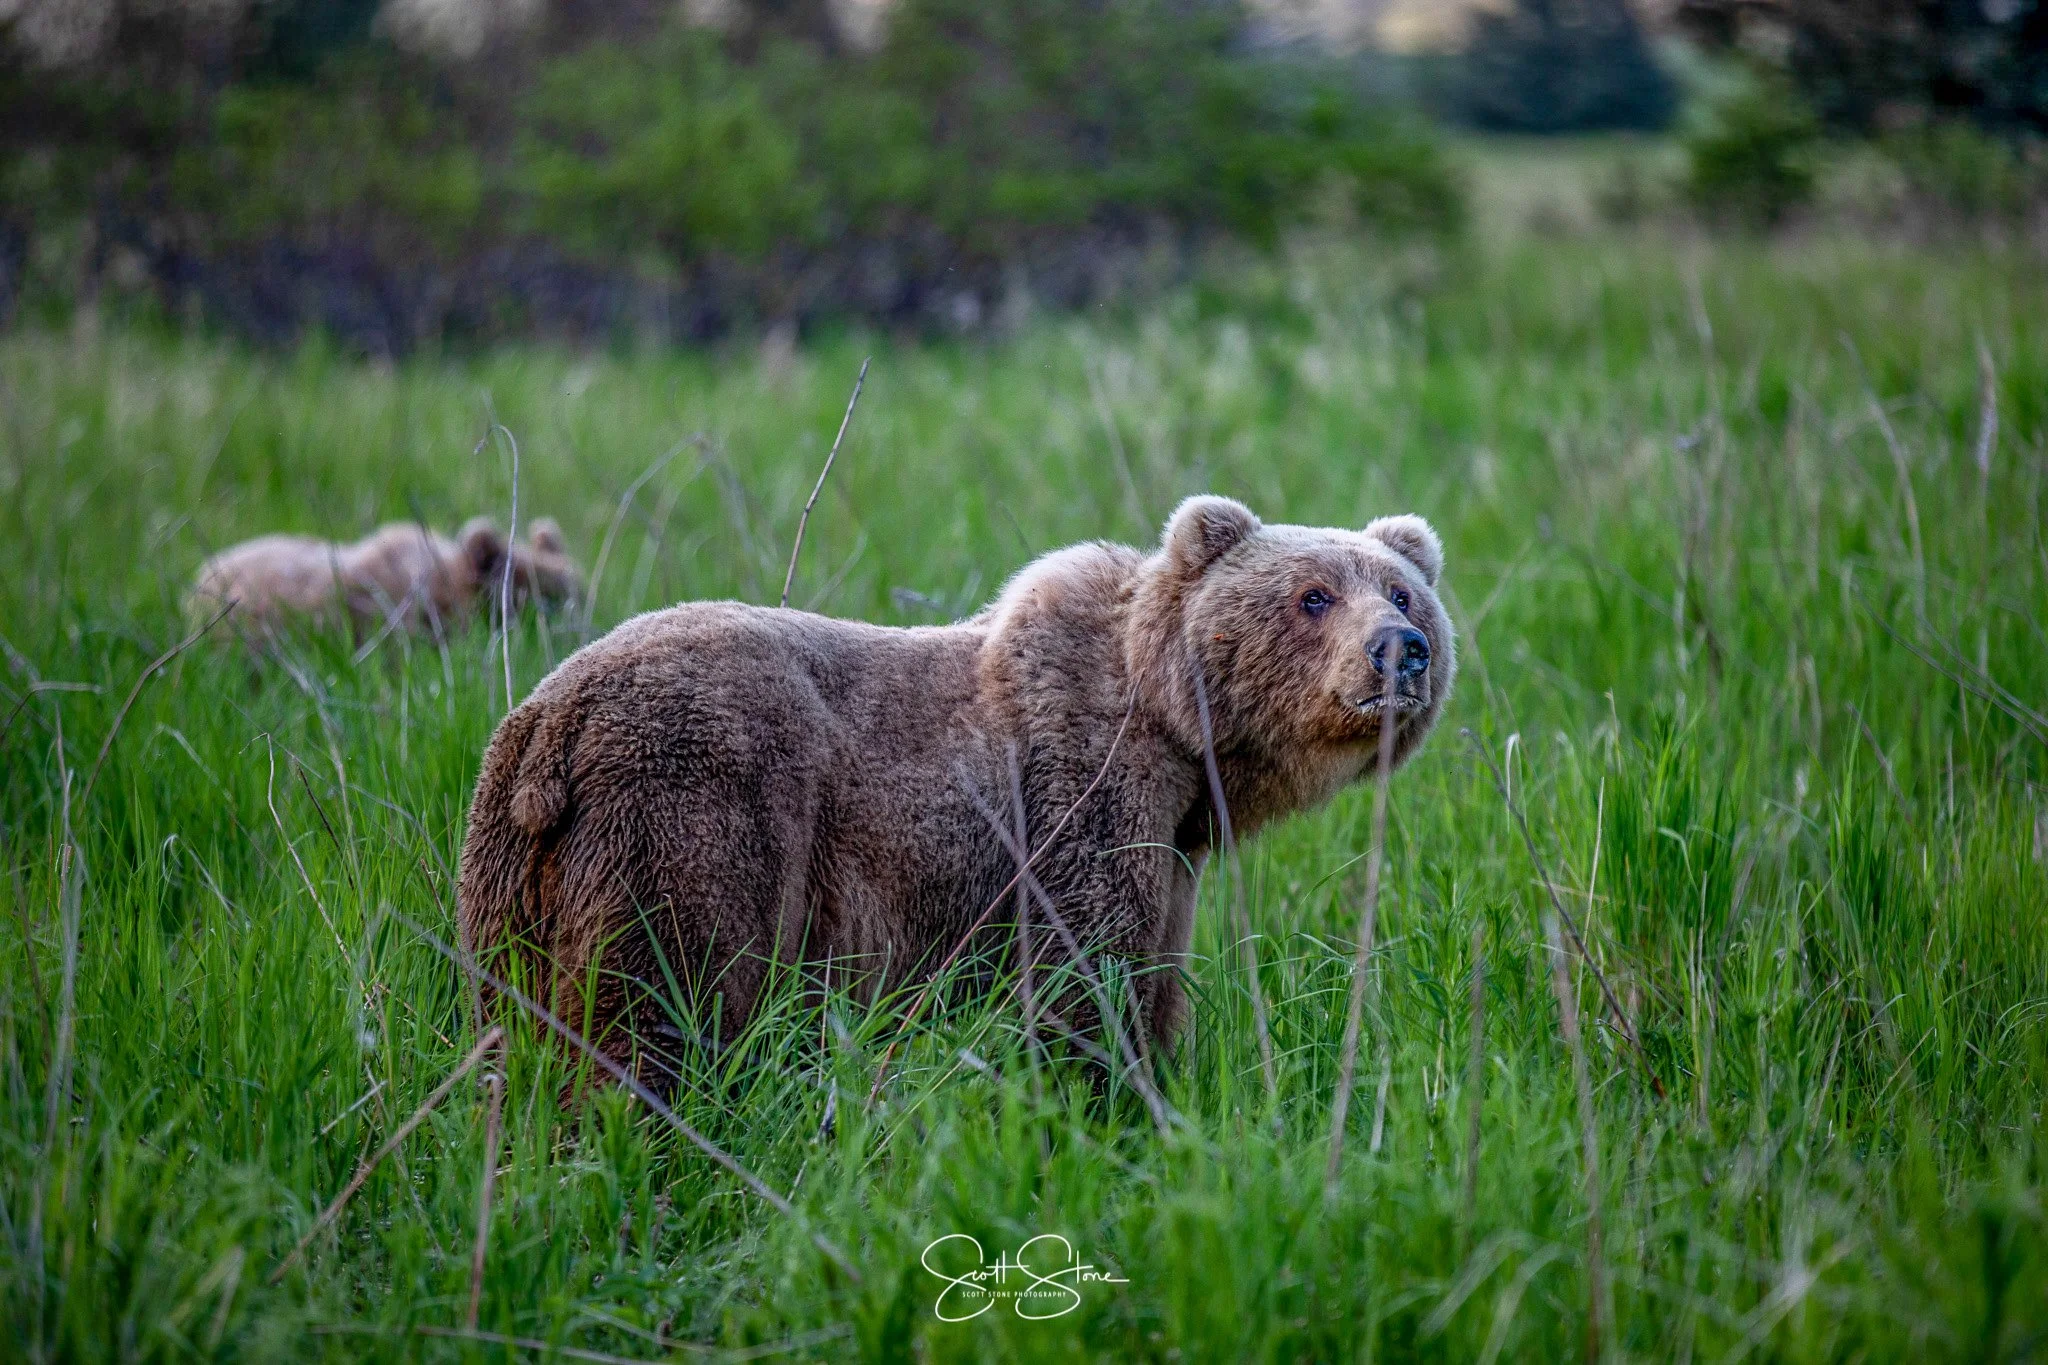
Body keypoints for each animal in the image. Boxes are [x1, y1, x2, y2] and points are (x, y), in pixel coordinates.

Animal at [454, 495, 1453, 1087]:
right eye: (1314, 595)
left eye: (1402, 590)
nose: (1399, 649)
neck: (1180, 733)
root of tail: (551, 717)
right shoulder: (1077, 792)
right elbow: (1086, 975)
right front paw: (1102, 1098)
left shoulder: (1174, 848)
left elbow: (1155, 975)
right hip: (691, 800)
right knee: (660, 998)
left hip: (511, 869)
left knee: (510, 1021)